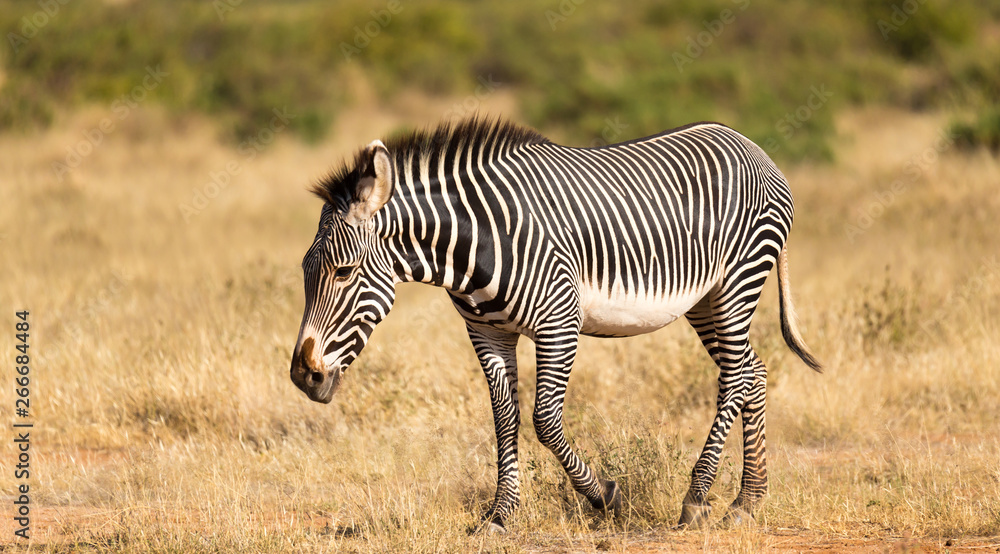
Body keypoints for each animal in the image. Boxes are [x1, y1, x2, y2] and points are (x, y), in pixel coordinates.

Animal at [290, 117, 821, 531]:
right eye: (304, 271)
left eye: (343, 272)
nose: (303, 376)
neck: (474, 245)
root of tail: (752, 146)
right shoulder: (487, 331)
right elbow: (504, 420)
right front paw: (500, 515)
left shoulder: (559, 321)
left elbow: (544, 420)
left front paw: (604, 496)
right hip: (705, 299)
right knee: (753, 372)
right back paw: (747, 501)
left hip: (737, 281)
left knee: (735, 378)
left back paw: (696, 499)